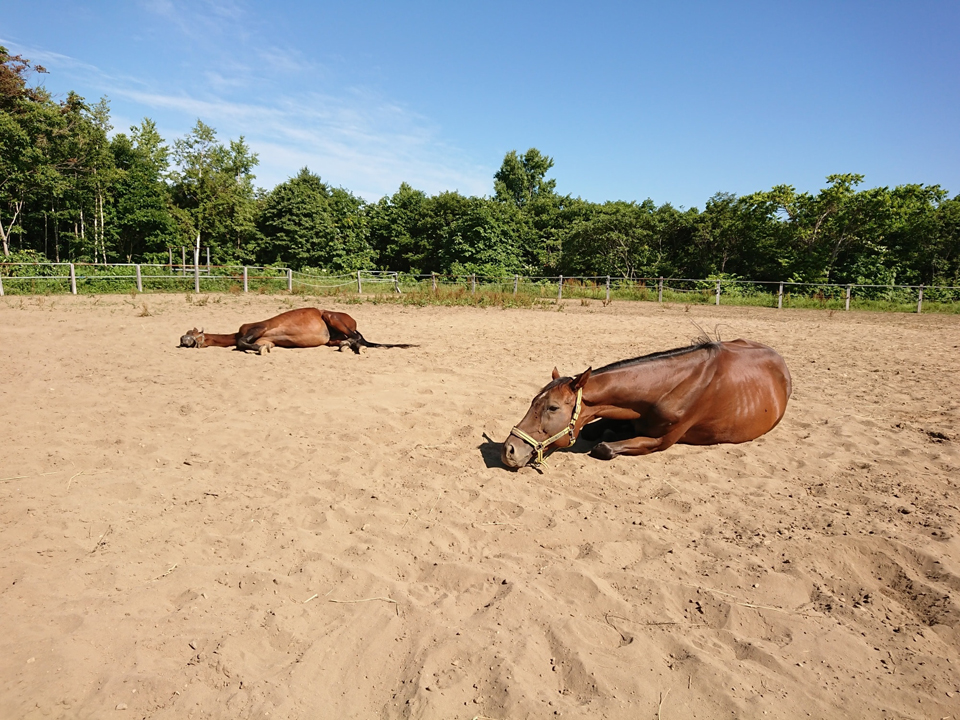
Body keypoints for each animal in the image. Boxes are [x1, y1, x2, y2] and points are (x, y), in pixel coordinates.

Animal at [498, 340, 792, 470]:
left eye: (553, 408)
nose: (509, 450)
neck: (665, 389)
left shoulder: (661, 441)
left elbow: (603, 447)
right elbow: (593, 429)